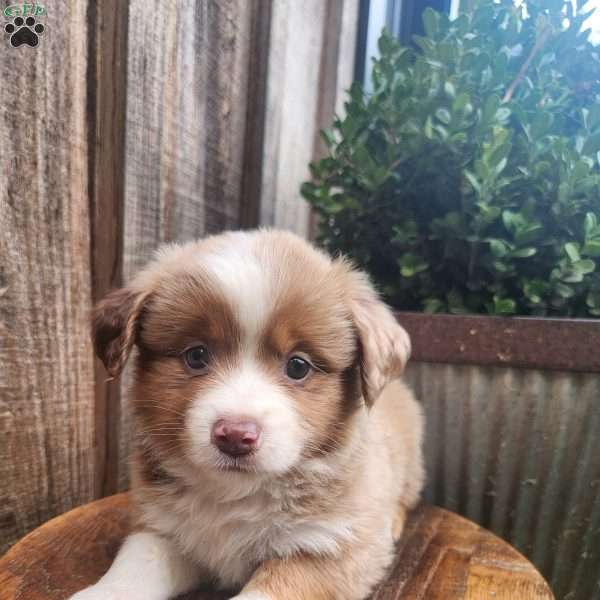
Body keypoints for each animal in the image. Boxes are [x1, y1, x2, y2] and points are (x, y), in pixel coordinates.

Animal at [70, 229, 424, 600]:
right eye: (196, 356)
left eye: (298, 366)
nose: (235, 436)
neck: (235, 495)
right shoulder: (160, 527)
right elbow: (132, 569)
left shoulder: (333, 548)